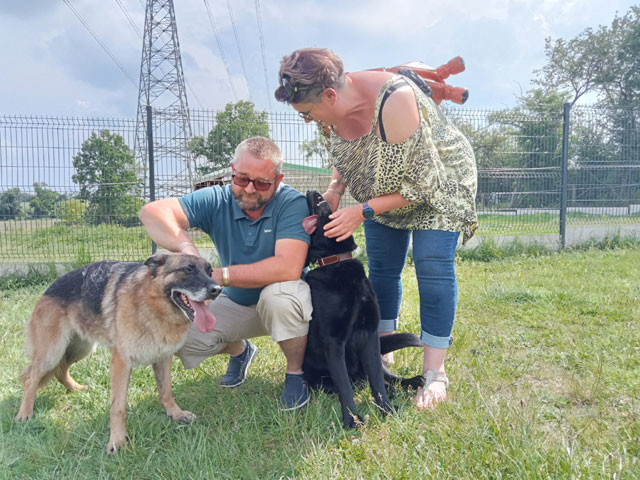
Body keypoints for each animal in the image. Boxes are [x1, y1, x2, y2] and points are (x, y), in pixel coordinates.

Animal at [14, 255, 222, 454]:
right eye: (188, 269)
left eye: (210, 271)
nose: (217, 290)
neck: (150, 303)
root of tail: (48, 289)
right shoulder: (122, 363)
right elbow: (118, 408)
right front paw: (117, 441)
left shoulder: (163, 357)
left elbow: (166, 391)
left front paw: (175, 414)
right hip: (52, 352)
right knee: (31, 379)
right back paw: (24, 413)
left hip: (80, 349)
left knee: (61, 370)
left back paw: (74, 388)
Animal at [302, 189, 422, 430]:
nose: (312, 191)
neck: (336, 263)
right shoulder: (334, 342)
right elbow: (344, 386)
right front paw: (352, 419)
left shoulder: (370, 335)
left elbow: (377, 380)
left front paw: (387, 410)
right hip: (320, 378)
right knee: (347, 383)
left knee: (385, 377)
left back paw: (410, 382)